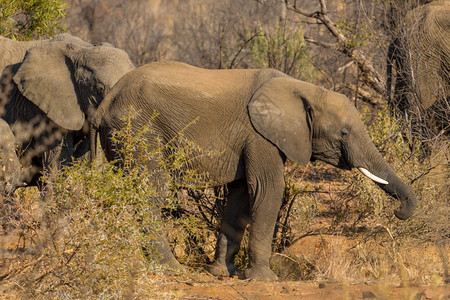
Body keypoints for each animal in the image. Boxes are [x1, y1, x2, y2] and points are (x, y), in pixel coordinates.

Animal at [91, 60, 418, 282]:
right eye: (344, 133)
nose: (398, 213)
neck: (304, 88)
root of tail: (106, 103)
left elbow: (241, 198)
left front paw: (223, 273)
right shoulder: (260, 136)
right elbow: (268, 189)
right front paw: (264, 278)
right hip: (138, 130)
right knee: (151, 192)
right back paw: (169, 268)